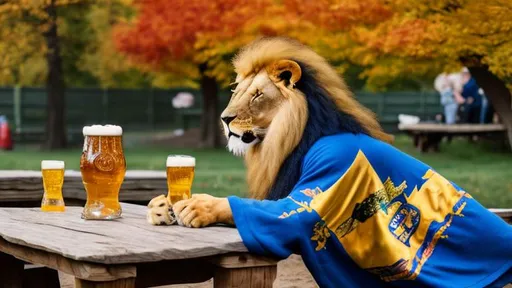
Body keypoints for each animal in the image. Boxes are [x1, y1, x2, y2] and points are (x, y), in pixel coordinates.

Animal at [146, 37, 510, 286]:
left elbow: (278, 214)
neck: (291, 138)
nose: (225, 119)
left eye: (258, 94)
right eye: (239, 91)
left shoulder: (331, 168)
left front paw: (199, 206)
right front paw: (162, 206)